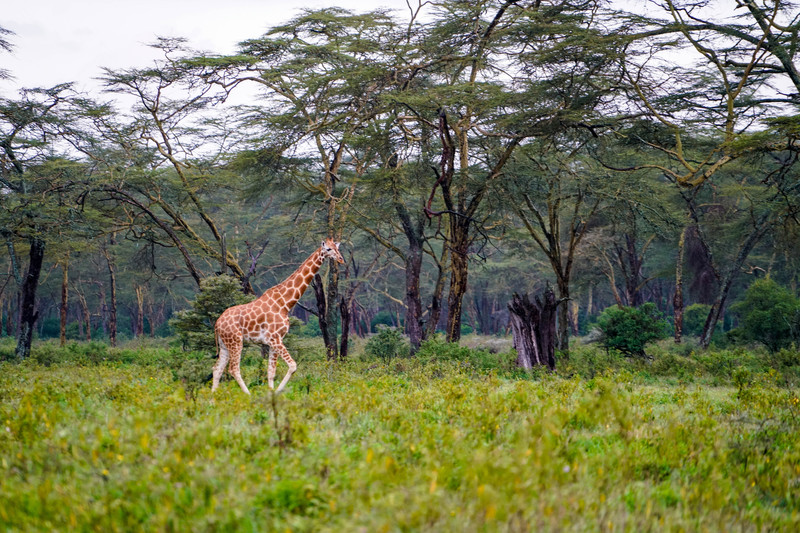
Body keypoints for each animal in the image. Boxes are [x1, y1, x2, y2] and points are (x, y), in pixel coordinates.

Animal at [211, 239, 342, 392]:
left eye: (337, 248)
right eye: (328, 249)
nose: (341, 259)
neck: (285, 303)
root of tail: (217, 323)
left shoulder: (274, 341)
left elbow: (271, 372)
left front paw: (271, 393)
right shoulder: (275, 338)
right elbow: (293, 366)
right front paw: (277, 392)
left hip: (225, 344)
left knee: (217, 369)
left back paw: (212, 398)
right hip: (236, 341)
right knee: (233, 369)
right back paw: (248, 395)